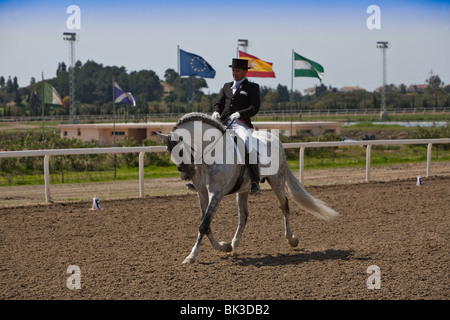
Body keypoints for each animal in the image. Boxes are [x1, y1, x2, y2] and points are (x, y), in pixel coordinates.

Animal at [158, 112, 338, 264]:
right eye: (168, 151)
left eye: (180, 149)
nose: (186, 175)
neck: (211, 151)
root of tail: (275, 139)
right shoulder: (202, 194)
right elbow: (206, 224)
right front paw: (224, 246)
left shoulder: (216, 194)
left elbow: (204, 224)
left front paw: (191, 256)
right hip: (244, 190)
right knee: (244, 215)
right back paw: (234, 242)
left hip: (277, 181)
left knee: (284, 206)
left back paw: (292, 239)